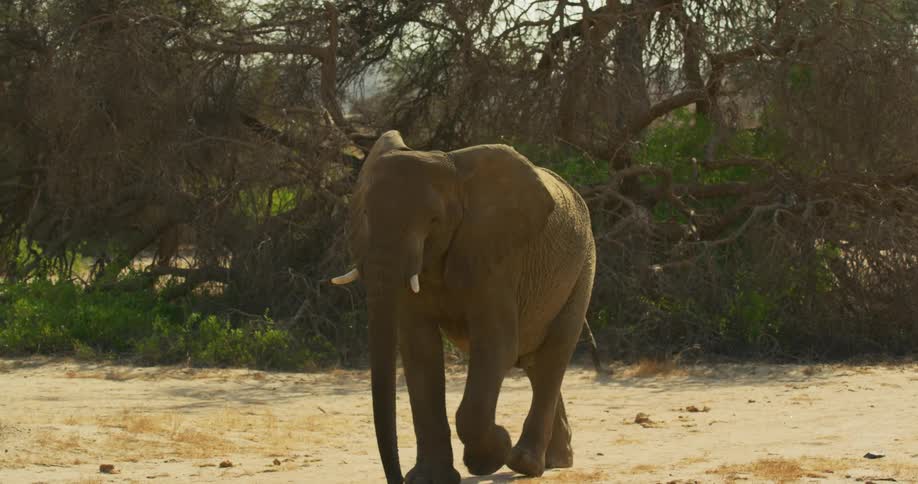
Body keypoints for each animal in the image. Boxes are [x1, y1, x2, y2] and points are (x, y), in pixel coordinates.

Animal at [330, 131, 596, 483]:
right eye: (364, 216)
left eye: (434, 220)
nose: (397, 479)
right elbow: (420, 349)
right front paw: (429, 479)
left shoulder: (497, 258)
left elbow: (497, 345)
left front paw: (489, 457)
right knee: (534, 362)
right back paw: (557, 460)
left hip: (583, 268)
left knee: (553, 354)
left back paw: (525, 463)